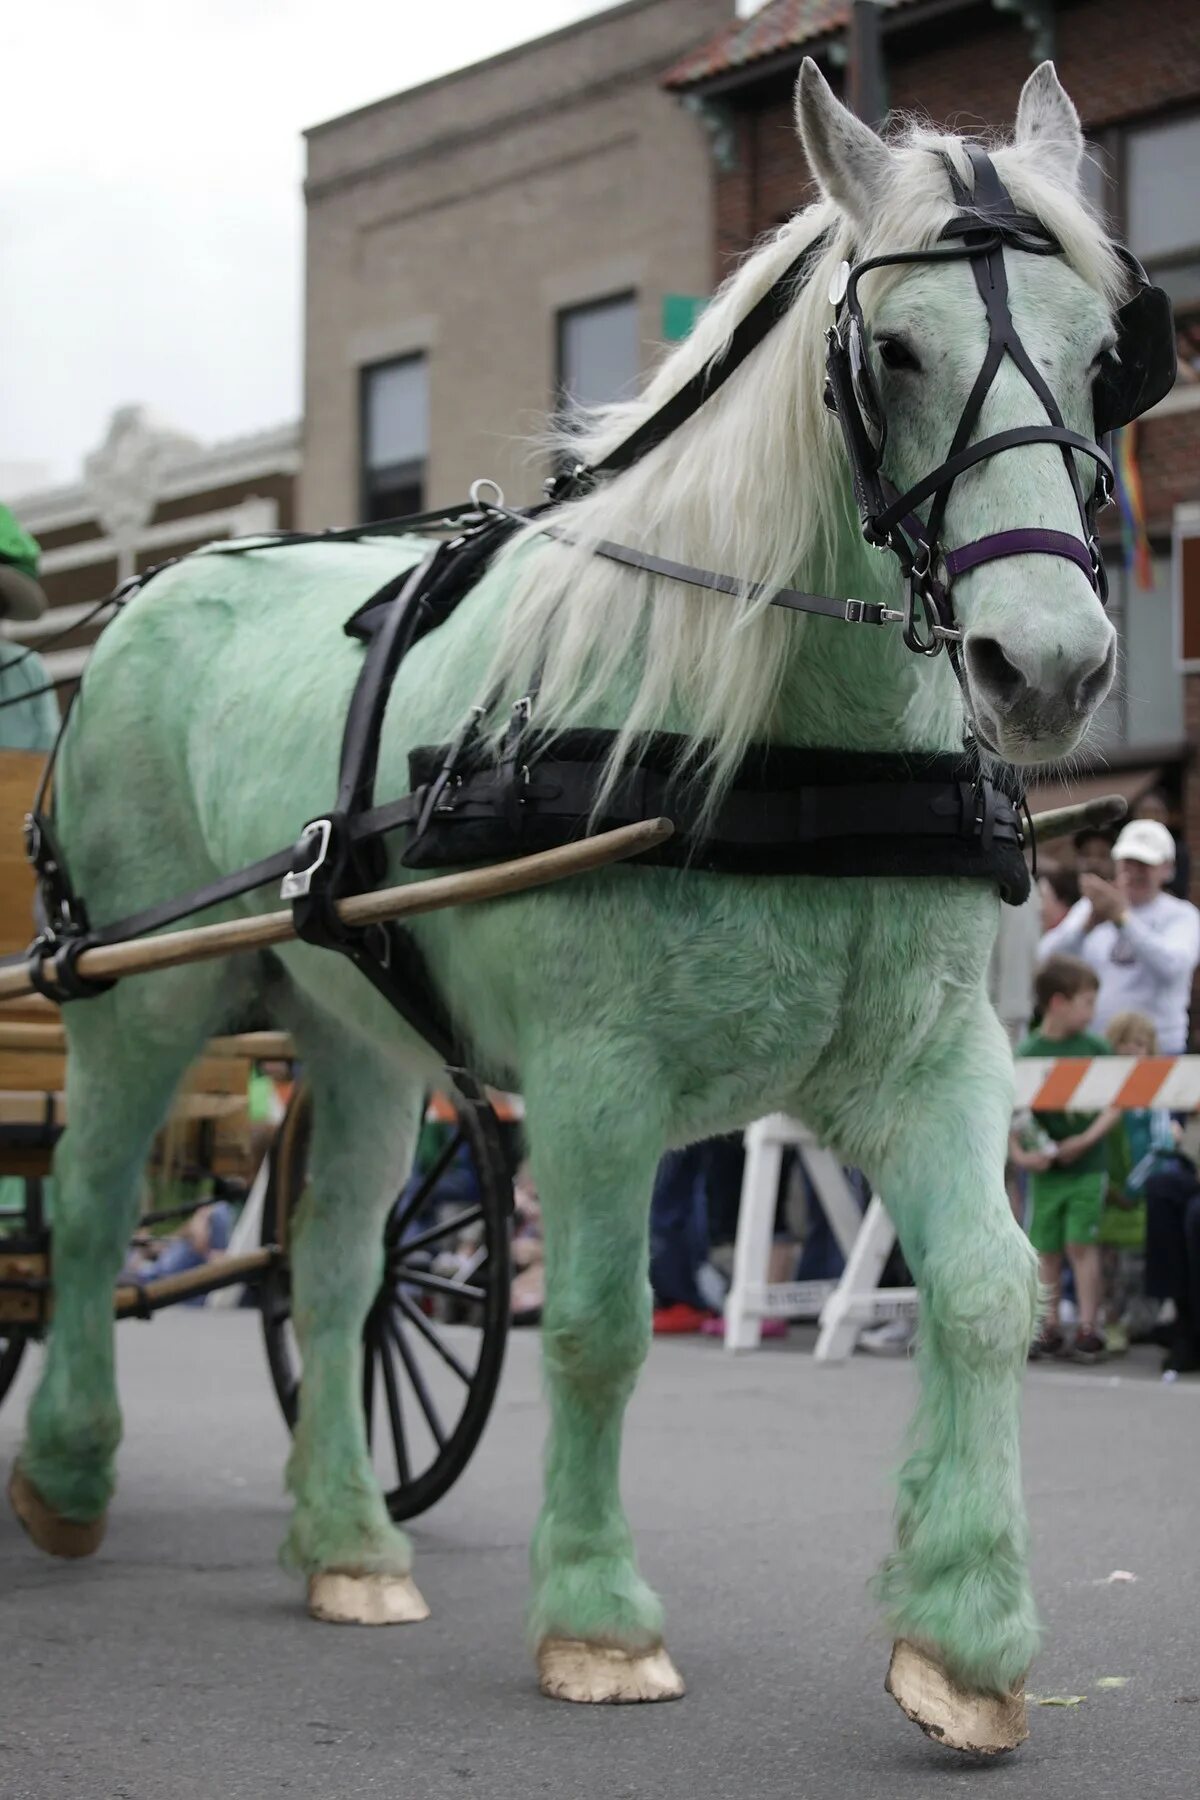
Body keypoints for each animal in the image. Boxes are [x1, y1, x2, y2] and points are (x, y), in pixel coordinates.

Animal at [14, 63, 1129, 1749]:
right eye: (894, 351)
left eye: (1107, 352)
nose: (1046, 667)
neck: (785, 745)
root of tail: (154, 592)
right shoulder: (600, 1082)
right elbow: (600, 1327)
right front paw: (599, 1617)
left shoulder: (931, 1061)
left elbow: (991, 1294)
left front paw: (968, 1636)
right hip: (144, 991)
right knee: (85, 1210)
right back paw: (70, 1472)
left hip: (357, 1038)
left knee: (334, 1269)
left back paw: (349, 1540)